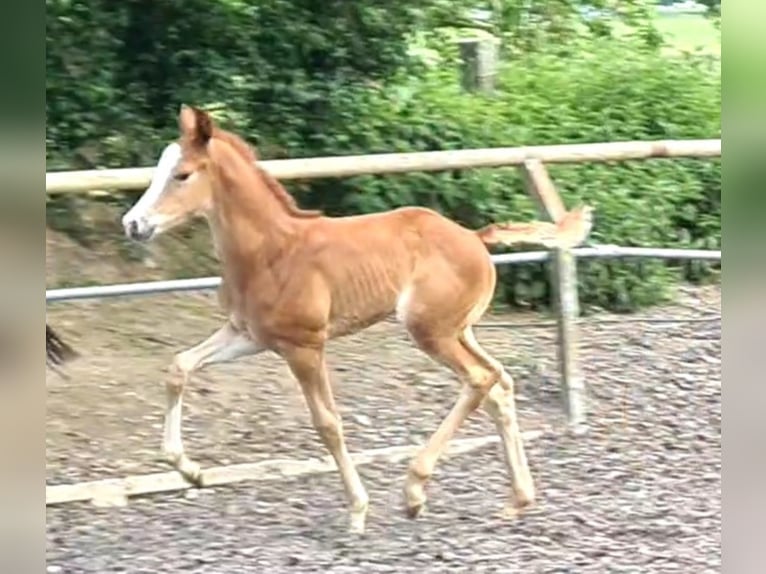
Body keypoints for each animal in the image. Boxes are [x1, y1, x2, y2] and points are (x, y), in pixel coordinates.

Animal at [123, 104, 596, 536]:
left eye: (182, 174)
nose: (133, 224)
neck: (272, 251)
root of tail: (474, 237)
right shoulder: (249, 334)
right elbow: (179, 366)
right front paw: (190, 470)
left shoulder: (304, 346)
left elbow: (328, 423)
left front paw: (357, 509)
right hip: (460, 329)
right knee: (500, 384)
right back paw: (517, 499)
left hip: (431, 332)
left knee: (480, 379)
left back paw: (414, 492)